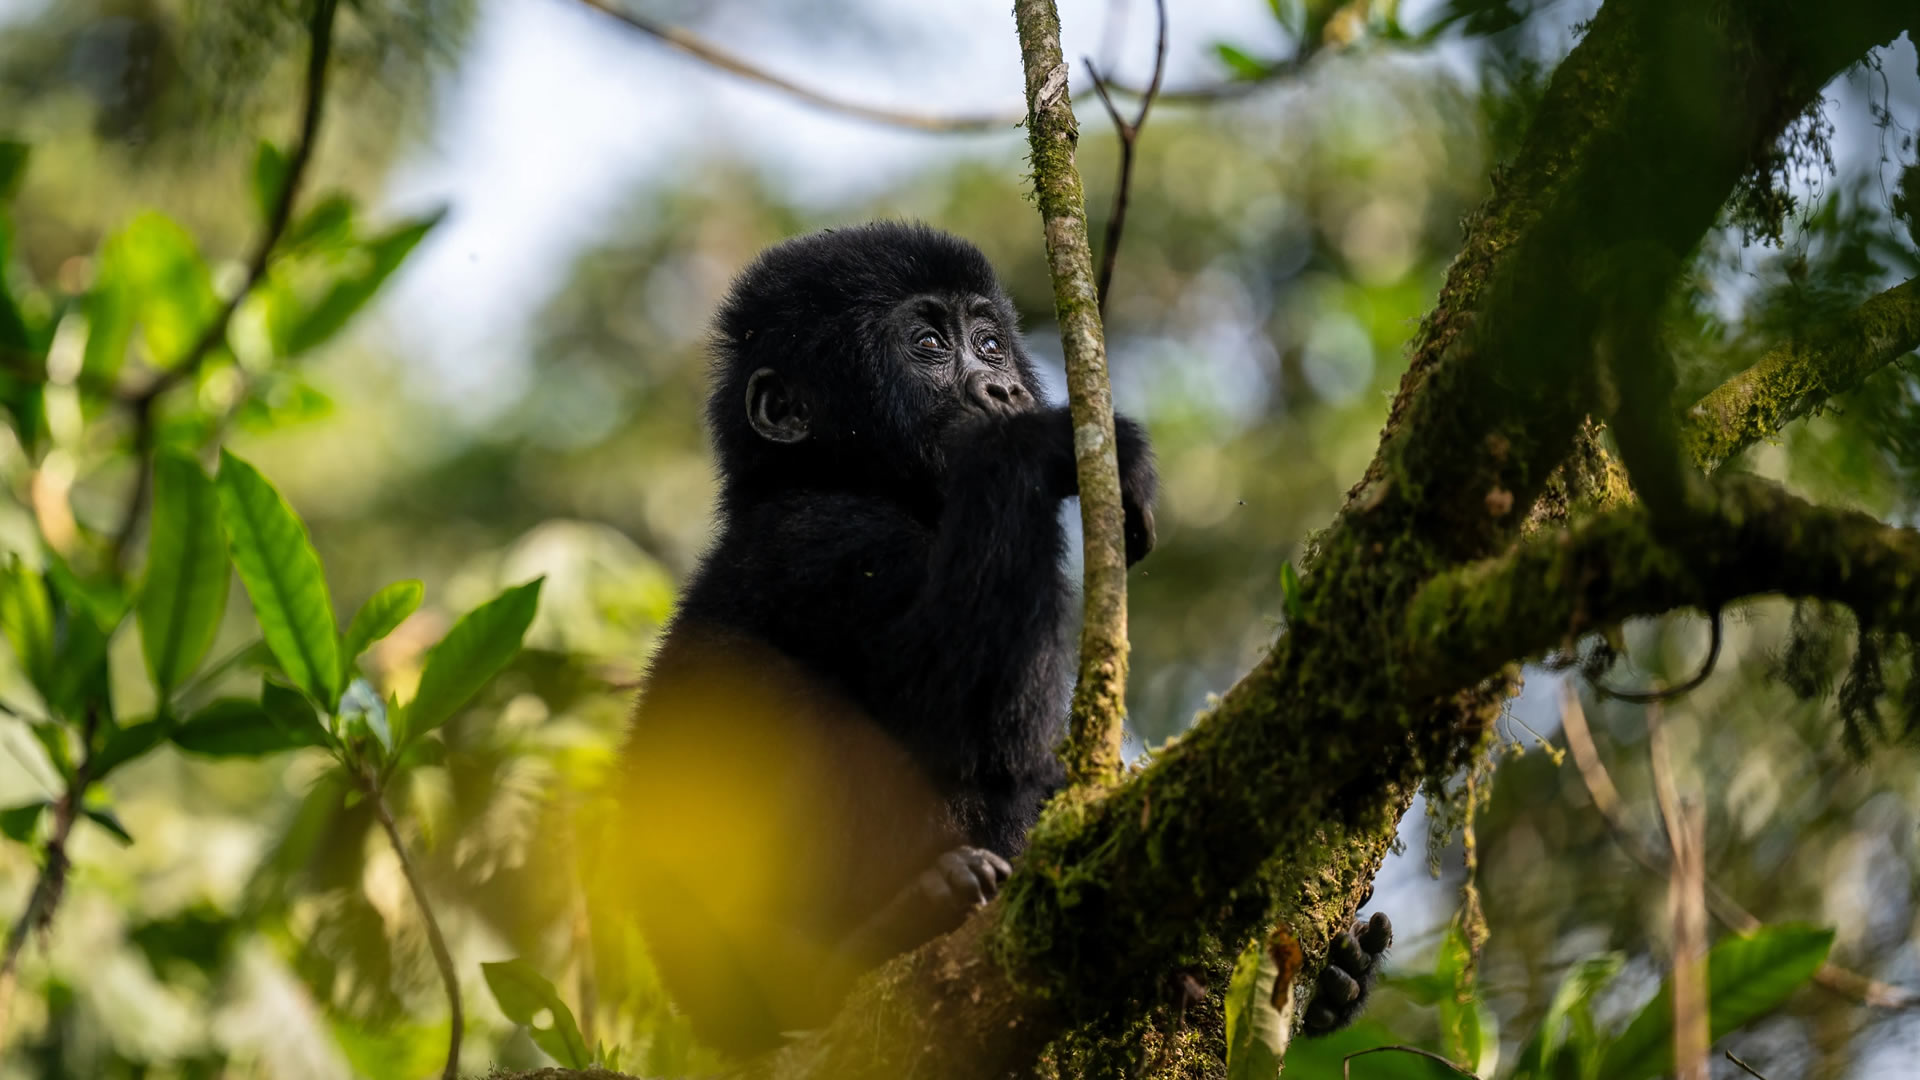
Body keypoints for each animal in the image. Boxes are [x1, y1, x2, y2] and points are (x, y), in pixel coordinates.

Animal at [603, 222, 1388, 1053]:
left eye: (988, 342)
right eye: (927, 344)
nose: (1002, 388)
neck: (841, 476)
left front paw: (1338, 971)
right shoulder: (820, 535)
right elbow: (961, 718)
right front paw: (1035, 442)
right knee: (757, 692)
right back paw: (849, 957)